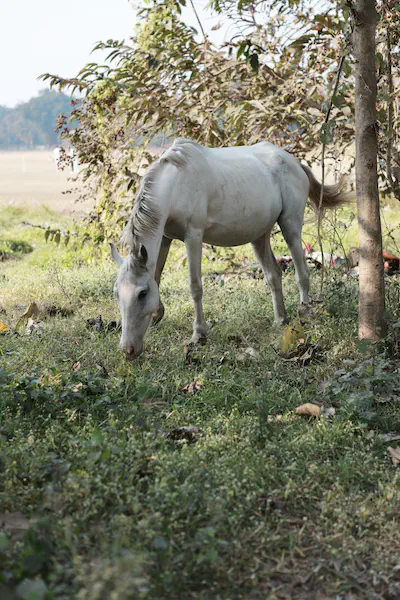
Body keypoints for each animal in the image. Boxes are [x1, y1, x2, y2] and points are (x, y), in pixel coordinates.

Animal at [110, 138, 348, 360]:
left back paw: (304, 316)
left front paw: (199, 334)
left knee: (302, 273)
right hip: (259, 237)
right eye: (117, 293)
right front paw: (157, 315)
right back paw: (280, 319)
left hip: (290, 227)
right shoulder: (165, 238)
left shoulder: (193, 237)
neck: (175, 183)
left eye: (142, 294)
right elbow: (156, 276)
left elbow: (195, 287)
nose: (128, 350)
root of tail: (294, 162)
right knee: (273, 275)